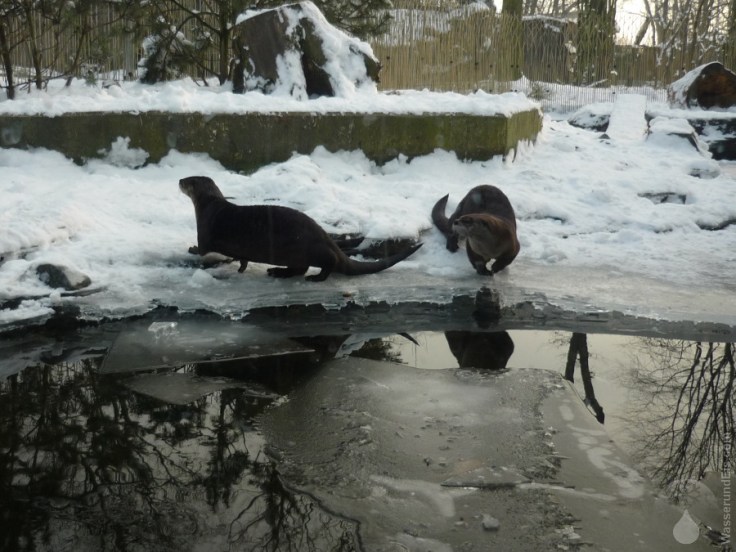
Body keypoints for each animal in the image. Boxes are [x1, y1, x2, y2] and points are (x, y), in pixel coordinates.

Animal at [179, 176, 421, 282]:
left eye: (188, 181)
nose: (180, 180)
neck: (209, 205)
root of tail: (326, 237)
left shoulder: (205, 231)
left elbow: (202, 249)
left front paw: (191, 248)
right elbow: (242, 259)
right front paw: (240, 267)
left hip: (310, 248)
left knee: (327, 263)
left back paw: (315, 277)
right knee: (300, 268)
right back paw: (278, 272)